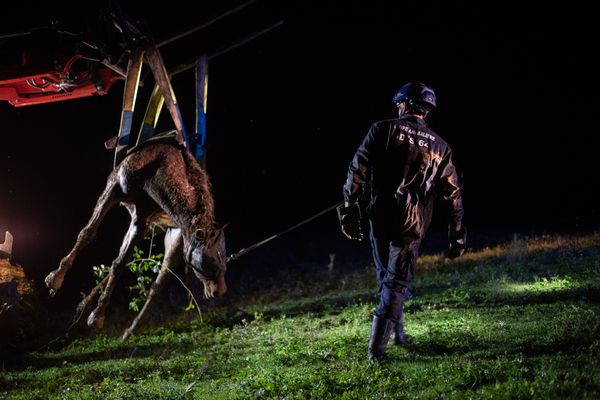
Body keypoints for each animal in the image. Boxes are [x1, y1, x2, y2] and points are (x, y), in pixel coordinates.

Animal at [44, 136, 226, 340]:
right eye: (209, 262)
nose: (219, 291)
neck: (156, 165)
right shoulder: (114, 187)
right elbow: (87, 233)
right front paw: (55, 278)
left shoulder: (142, 217)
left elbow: (120, 263)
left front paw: (97, 315)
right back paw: (84, 306)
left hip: (172, 238)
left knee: (156, 282)